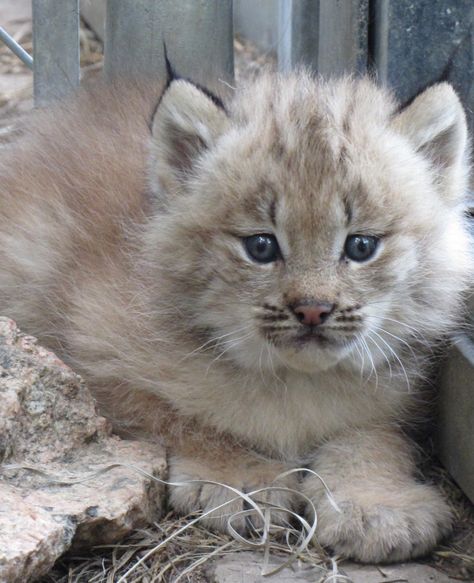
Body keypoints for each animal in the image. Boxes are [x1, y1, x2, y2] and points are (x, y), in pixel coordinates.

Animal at [0, 70, 472, 564]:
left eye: (361, 246)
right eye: (260, 247)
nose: (312, 309)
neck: (293, 380)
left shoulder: (395, 396)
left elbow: (372, 437)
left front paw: (375, 502)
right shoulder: (93, 355)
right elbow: (178, 415)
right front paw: (241, 477)